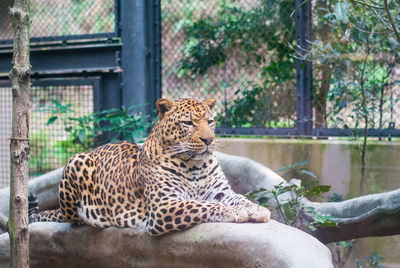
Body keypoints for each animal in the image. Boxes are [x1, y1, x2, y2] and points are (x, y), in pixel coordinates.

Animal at [29, 98, 270, 234]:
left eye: (210, 122)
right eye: (188, 123)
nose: (209, 140)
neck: (194, 165)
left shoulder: (219, 191)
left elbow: (238, 198)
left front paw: (256, 208)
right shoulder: (164, 206)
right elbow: (202, 206)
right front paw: (235, 212)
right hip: (76, 161)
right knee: (73, 219)